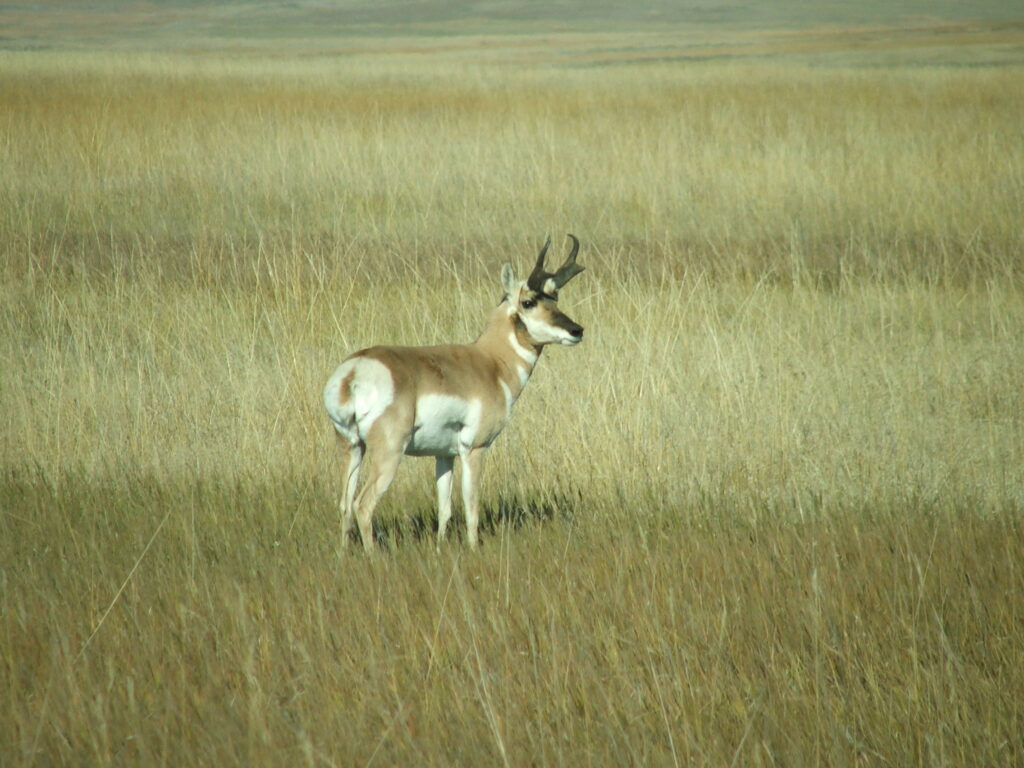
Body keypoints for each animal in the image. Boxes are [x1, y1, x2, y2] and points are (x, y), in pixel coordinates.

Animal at [323, 236, 589, 552]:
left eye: (554, 298)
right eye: (528, 302)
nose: (576, 330)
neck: (492, 362)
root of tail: (355, 370)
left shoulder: (444, 455)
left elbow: (445, 507)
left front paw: (440, 548)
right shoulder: (474, 449)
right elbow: (470, 505)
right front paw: (473, 548)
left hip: (352, 447)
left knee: (344, 503)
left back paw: (343, 553)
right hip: (388, 453)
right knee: (363, 504)